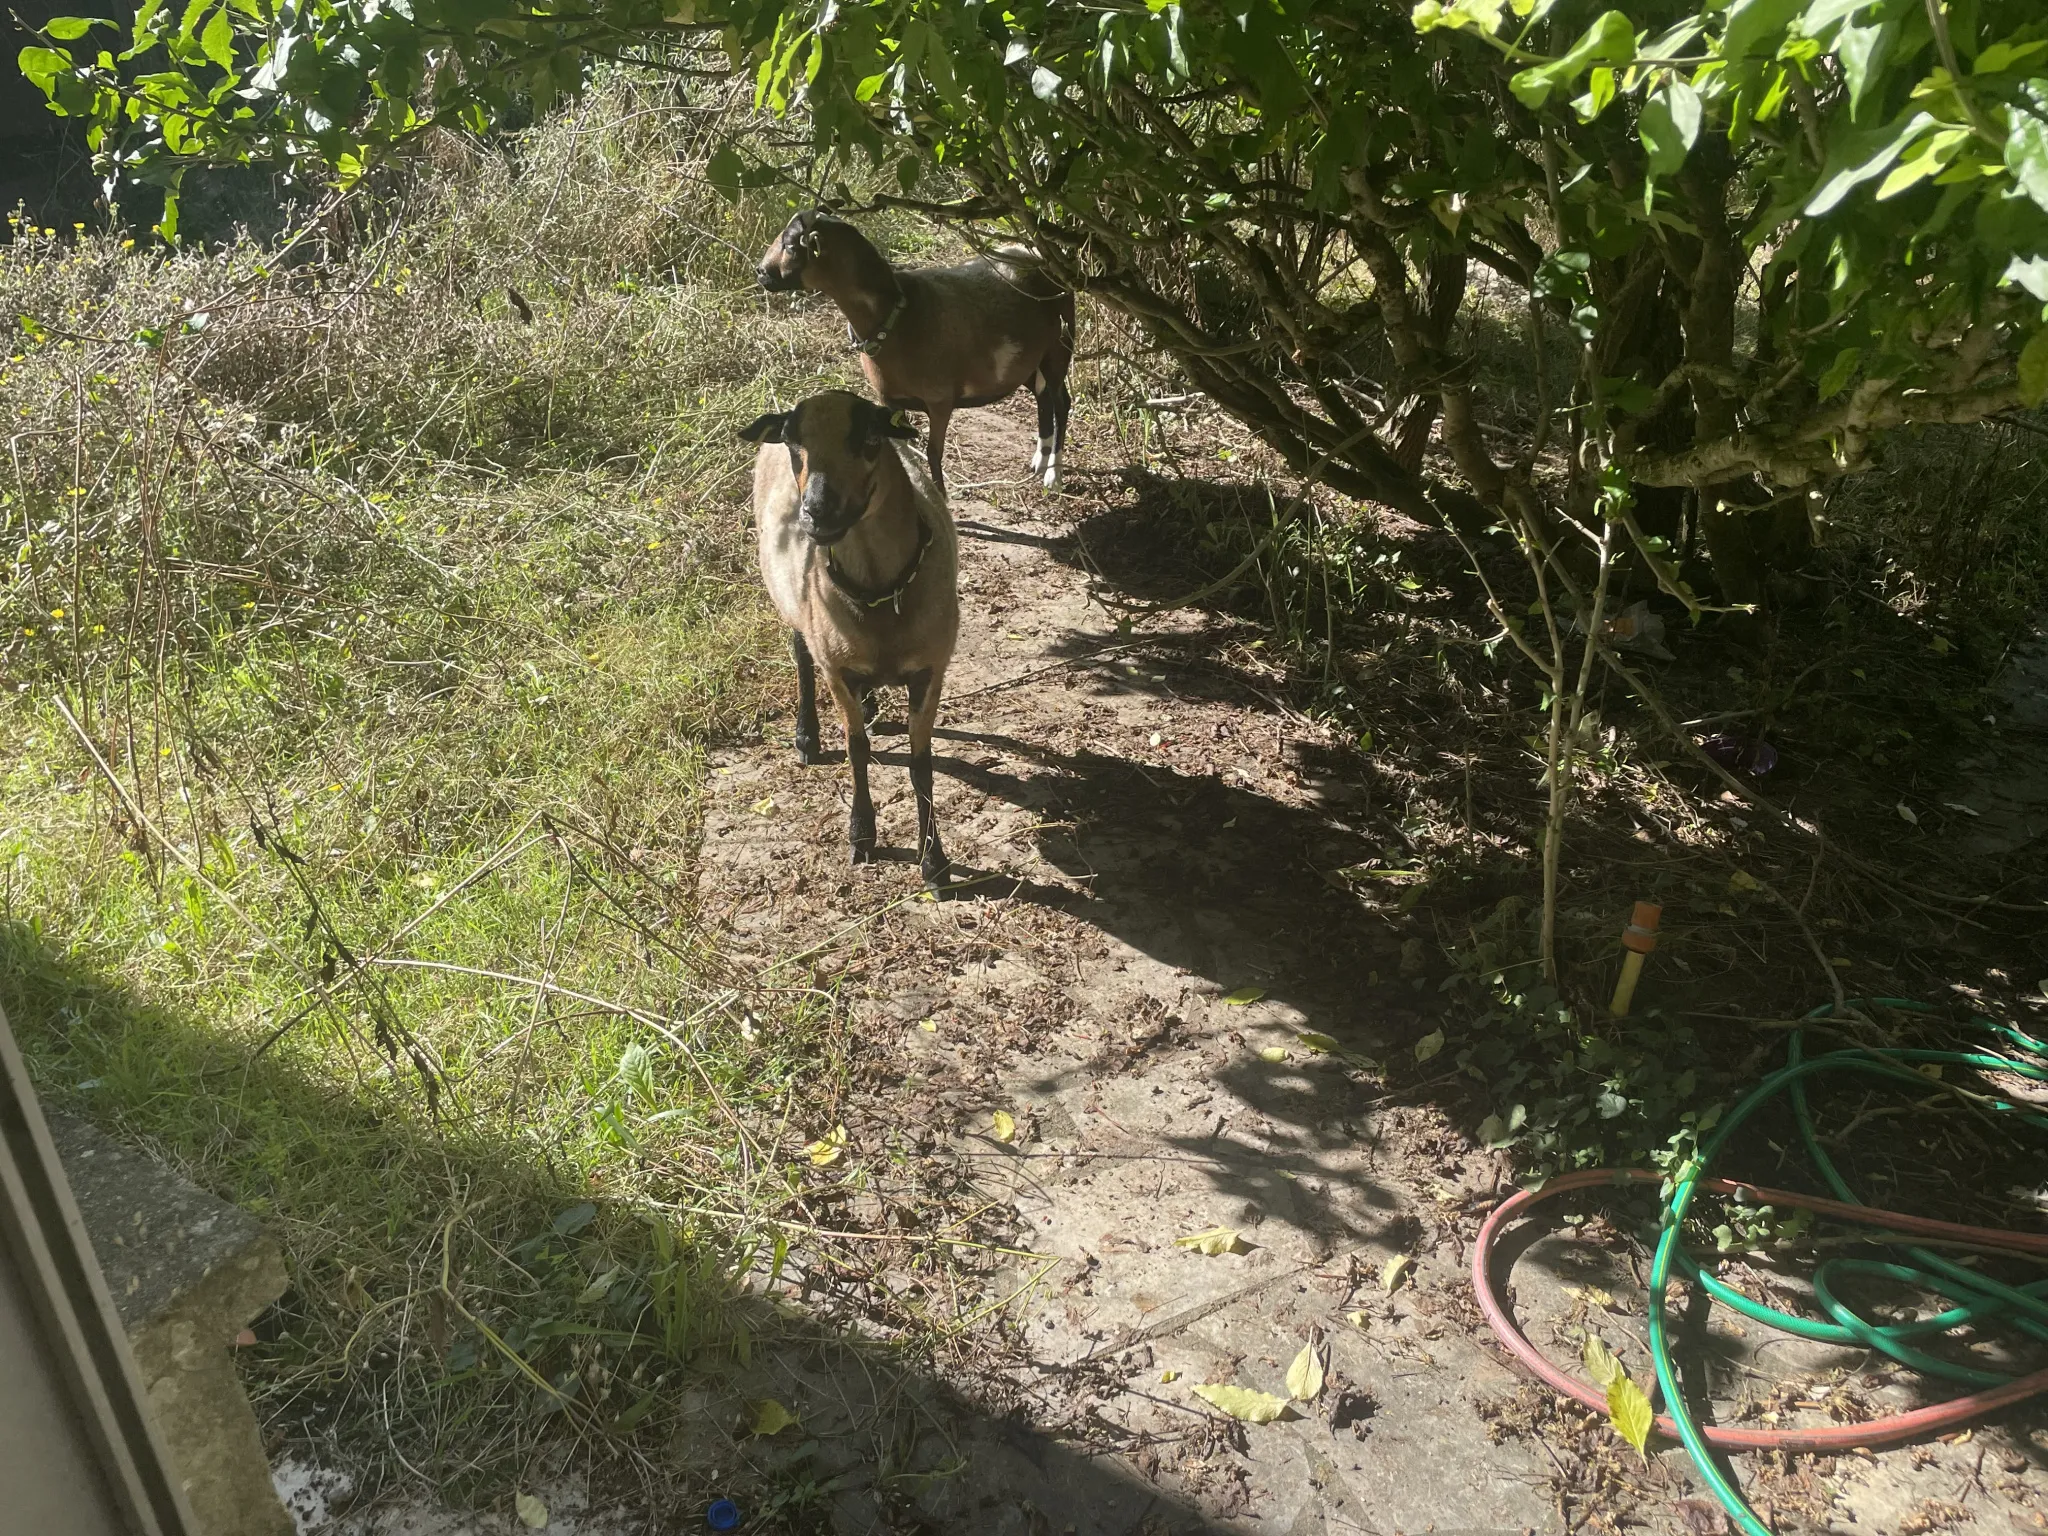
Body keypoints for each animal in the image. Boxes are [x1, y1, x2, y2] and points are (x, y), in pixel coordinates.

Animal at [741, 391, 954, 884]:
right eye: (791, 441)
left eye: (872, 439)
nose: (817, 512)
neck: (881, 595)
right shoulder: (837, 671)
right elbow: (857, 752)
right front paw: (862, 836)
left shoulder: (931, 670)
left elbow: (922, 765)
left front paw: (934, 861)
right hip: (793, 605)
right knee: (801, 655)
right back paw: (807, 739)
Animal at [753, 210, 1073, 493]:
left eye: (791, 245)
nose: (760, 272)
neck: (896, 319)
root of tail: (1040, 254)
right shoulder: (891, 400)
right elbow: (904, 450)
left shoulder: (940, 401)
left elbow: (933, 453)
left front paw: (941, 495)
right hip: (1029, 361)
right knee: (1043, 397)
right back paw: (1039, 461)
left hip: (1060, 345)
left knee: (1061, 401)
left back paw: (1054, 476)